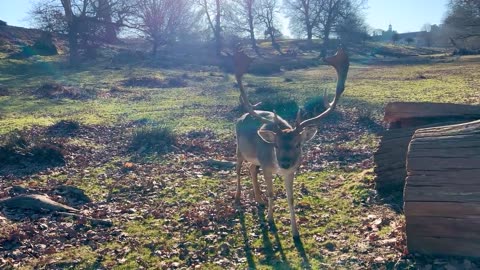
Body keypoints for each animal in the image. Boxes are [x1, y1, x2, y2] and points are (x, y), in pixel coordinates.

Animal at [235, 48, 350, 238]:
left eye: (298, 144)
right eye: (276, 145)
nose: (285, 162)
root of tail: (240, 117)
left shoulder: (291, 172)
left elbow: (291, 198)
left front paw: (295, 232)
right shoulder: (266, 166)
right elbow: (272, 193)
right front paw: (270, 220)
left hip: (255, 158)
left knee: (251, 168)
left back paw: (259, 200)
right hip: (238, 148)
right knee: (237, 170)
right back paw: (238, 198)